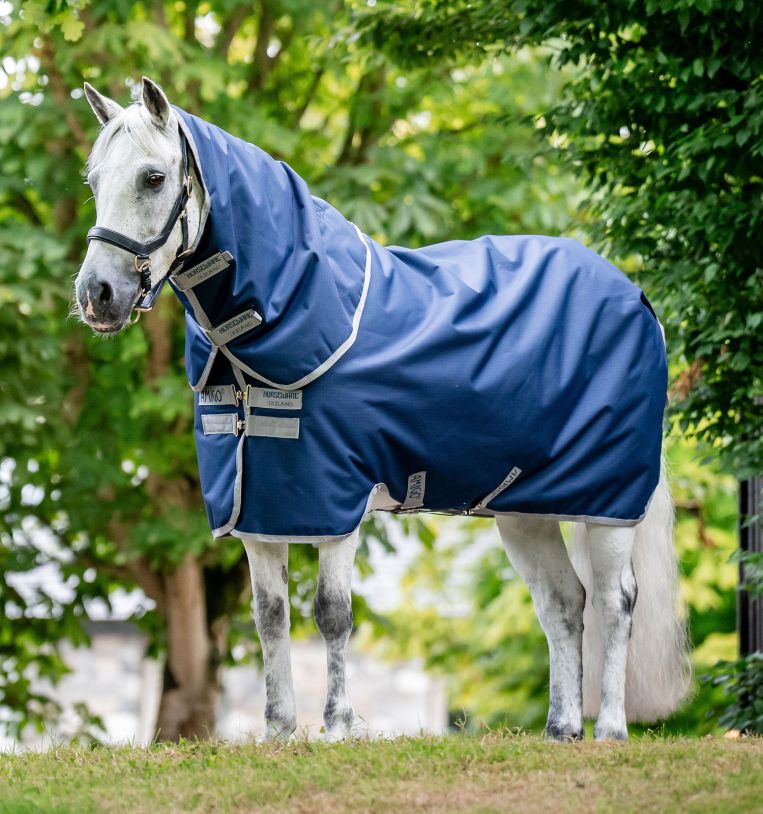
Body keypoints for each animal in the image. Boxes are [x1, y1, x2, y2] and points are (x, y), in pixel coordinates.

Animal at [74, 77, 690, 742]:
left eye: (153, 178)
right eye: (94, 180)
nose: (97, 295)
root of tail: (636, 298)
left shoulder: (336, 502)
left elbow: (331, 613)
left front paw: (338, 727)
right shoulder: (260, 506)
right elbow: (269, 616)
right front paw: (278, 732)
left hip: (609, 503)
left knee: (614, 602)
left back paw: (611, 731)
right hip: (524, 511)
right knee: (562, 603)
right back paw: (562, 728)